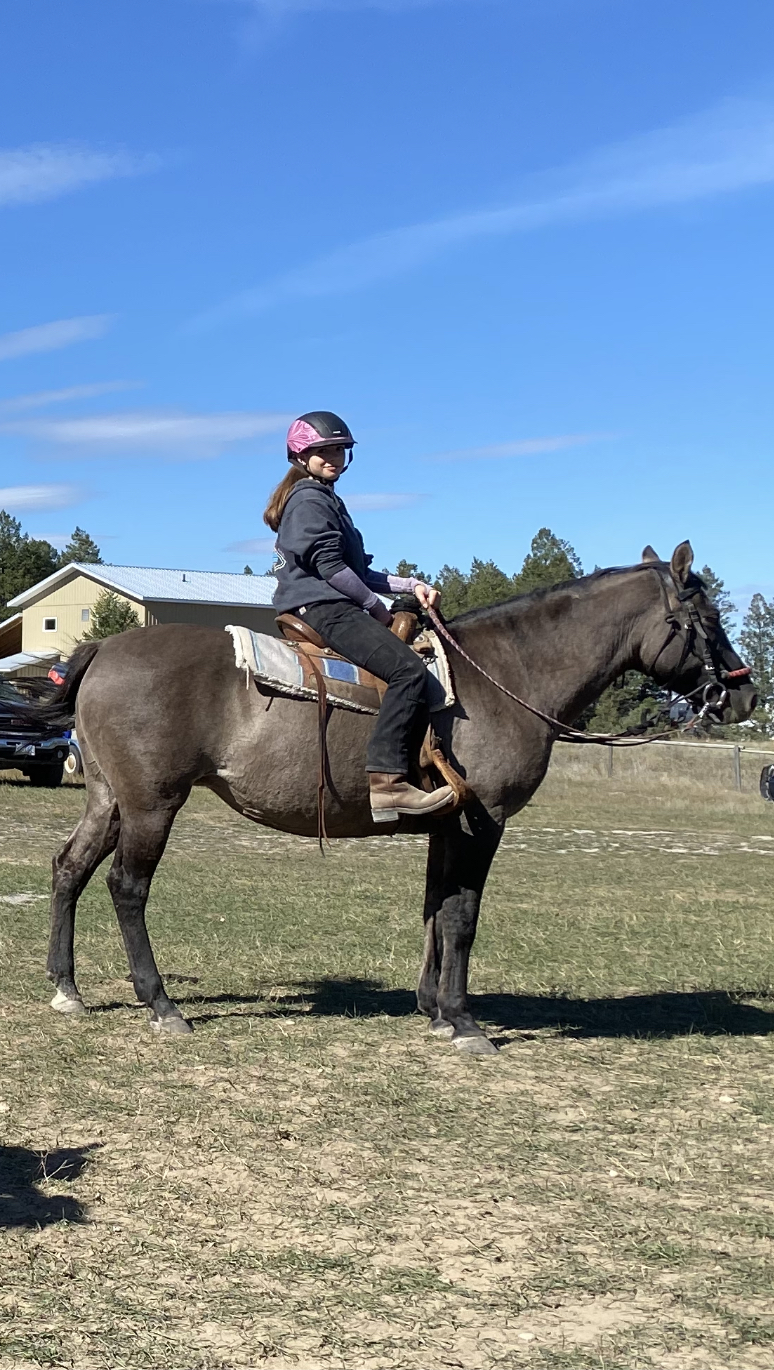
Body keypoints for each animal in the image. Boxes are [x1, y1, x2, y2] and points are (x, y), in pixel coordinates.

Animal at [31, 539, 756, 1052]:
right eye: (705, 617)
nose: (746, 695)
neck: (503, 678)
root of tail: (102, 651)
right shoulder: (482, 823)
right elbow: (462, 918)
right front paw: (465, 1023)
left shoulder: (446, 824)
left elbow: (435, 910)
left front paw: (433, 1010)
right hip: (152, 803)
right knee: (127, 887)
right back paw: (161, 1005)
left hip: (109, 798)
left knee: (70, 867)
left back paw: (66, 987)